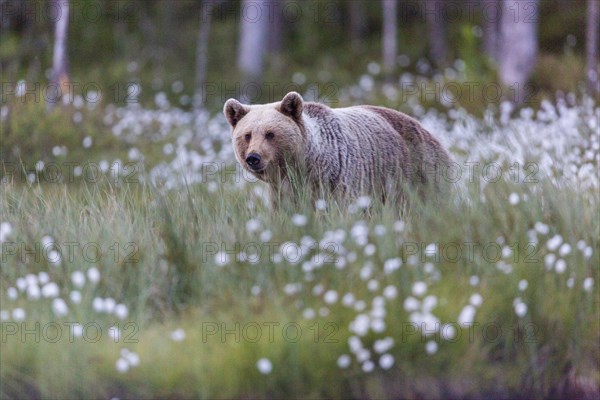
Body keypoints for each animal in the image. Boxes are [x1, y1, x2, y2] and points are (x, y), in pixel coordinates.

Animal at [224, 92, 450, 208]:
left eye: (270, 134)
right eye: (247, 135)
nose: (253, 157)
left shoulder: (337, 179)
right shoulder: (283, 191)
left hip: (417, 171)